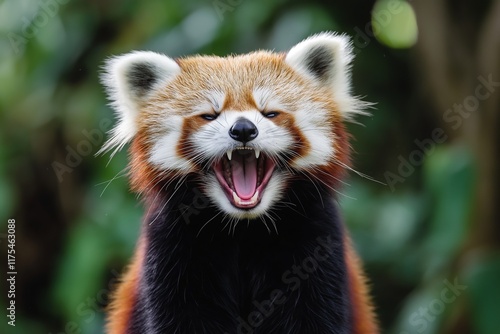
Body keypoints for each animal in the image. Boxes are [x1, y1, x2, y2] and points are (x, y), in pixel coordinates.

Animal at [99, 32, 376, 334]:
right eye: (209, 115)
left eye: (270, 113)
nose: (243, 129)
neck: (243, 230)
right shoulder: (170, 250)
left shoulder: (316, 247)